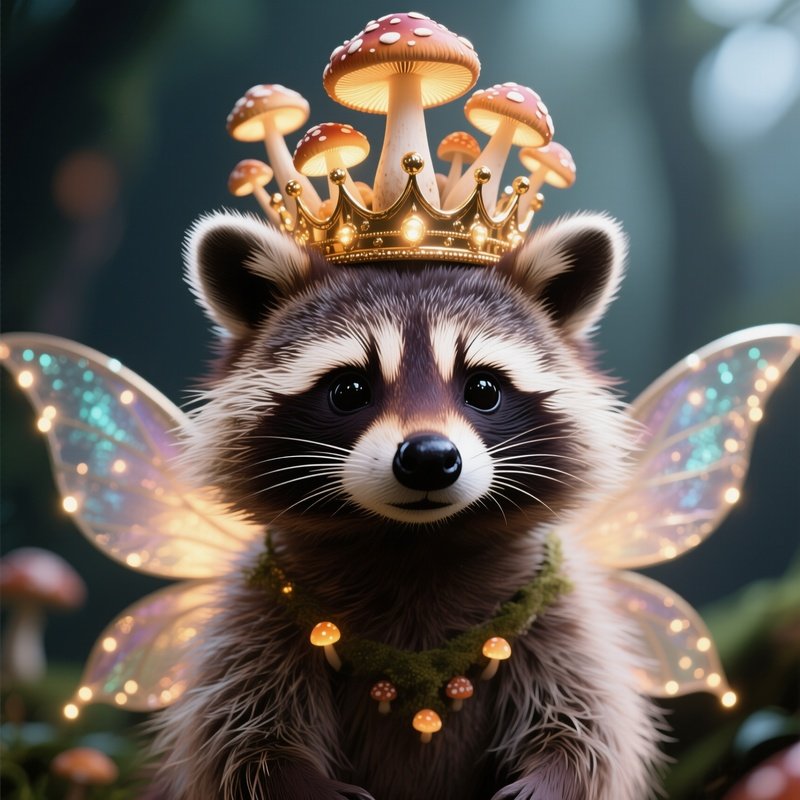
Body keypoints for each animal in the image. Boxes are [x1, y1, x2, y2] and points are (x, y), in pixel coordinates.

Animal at [149, 210, 662, 799]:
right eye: (349, 389)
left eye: (483, 388)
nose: (428, 458)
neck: (413, 541)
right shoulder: (257, 613)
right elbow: (241, 734)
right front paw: (301, 782)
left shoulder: (559, 613)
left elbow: (590, 721)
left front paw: (551, 778)